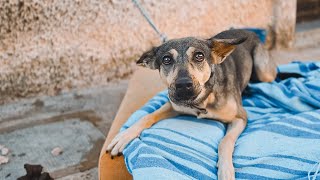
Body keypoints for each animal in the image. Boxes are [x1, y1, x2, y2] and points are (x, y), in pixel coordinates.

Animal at [107, 28, 278, 179]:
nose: (183, 85)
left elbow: (225, 141)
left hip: (264, 72)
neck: (202, 101)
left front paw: (226, 169)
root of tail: (249, 32)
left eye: (199, 56)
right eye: (166, 59)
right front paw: (124, 135)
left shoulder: (240, 117)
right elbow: (147, 116)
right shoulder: (173, 105)